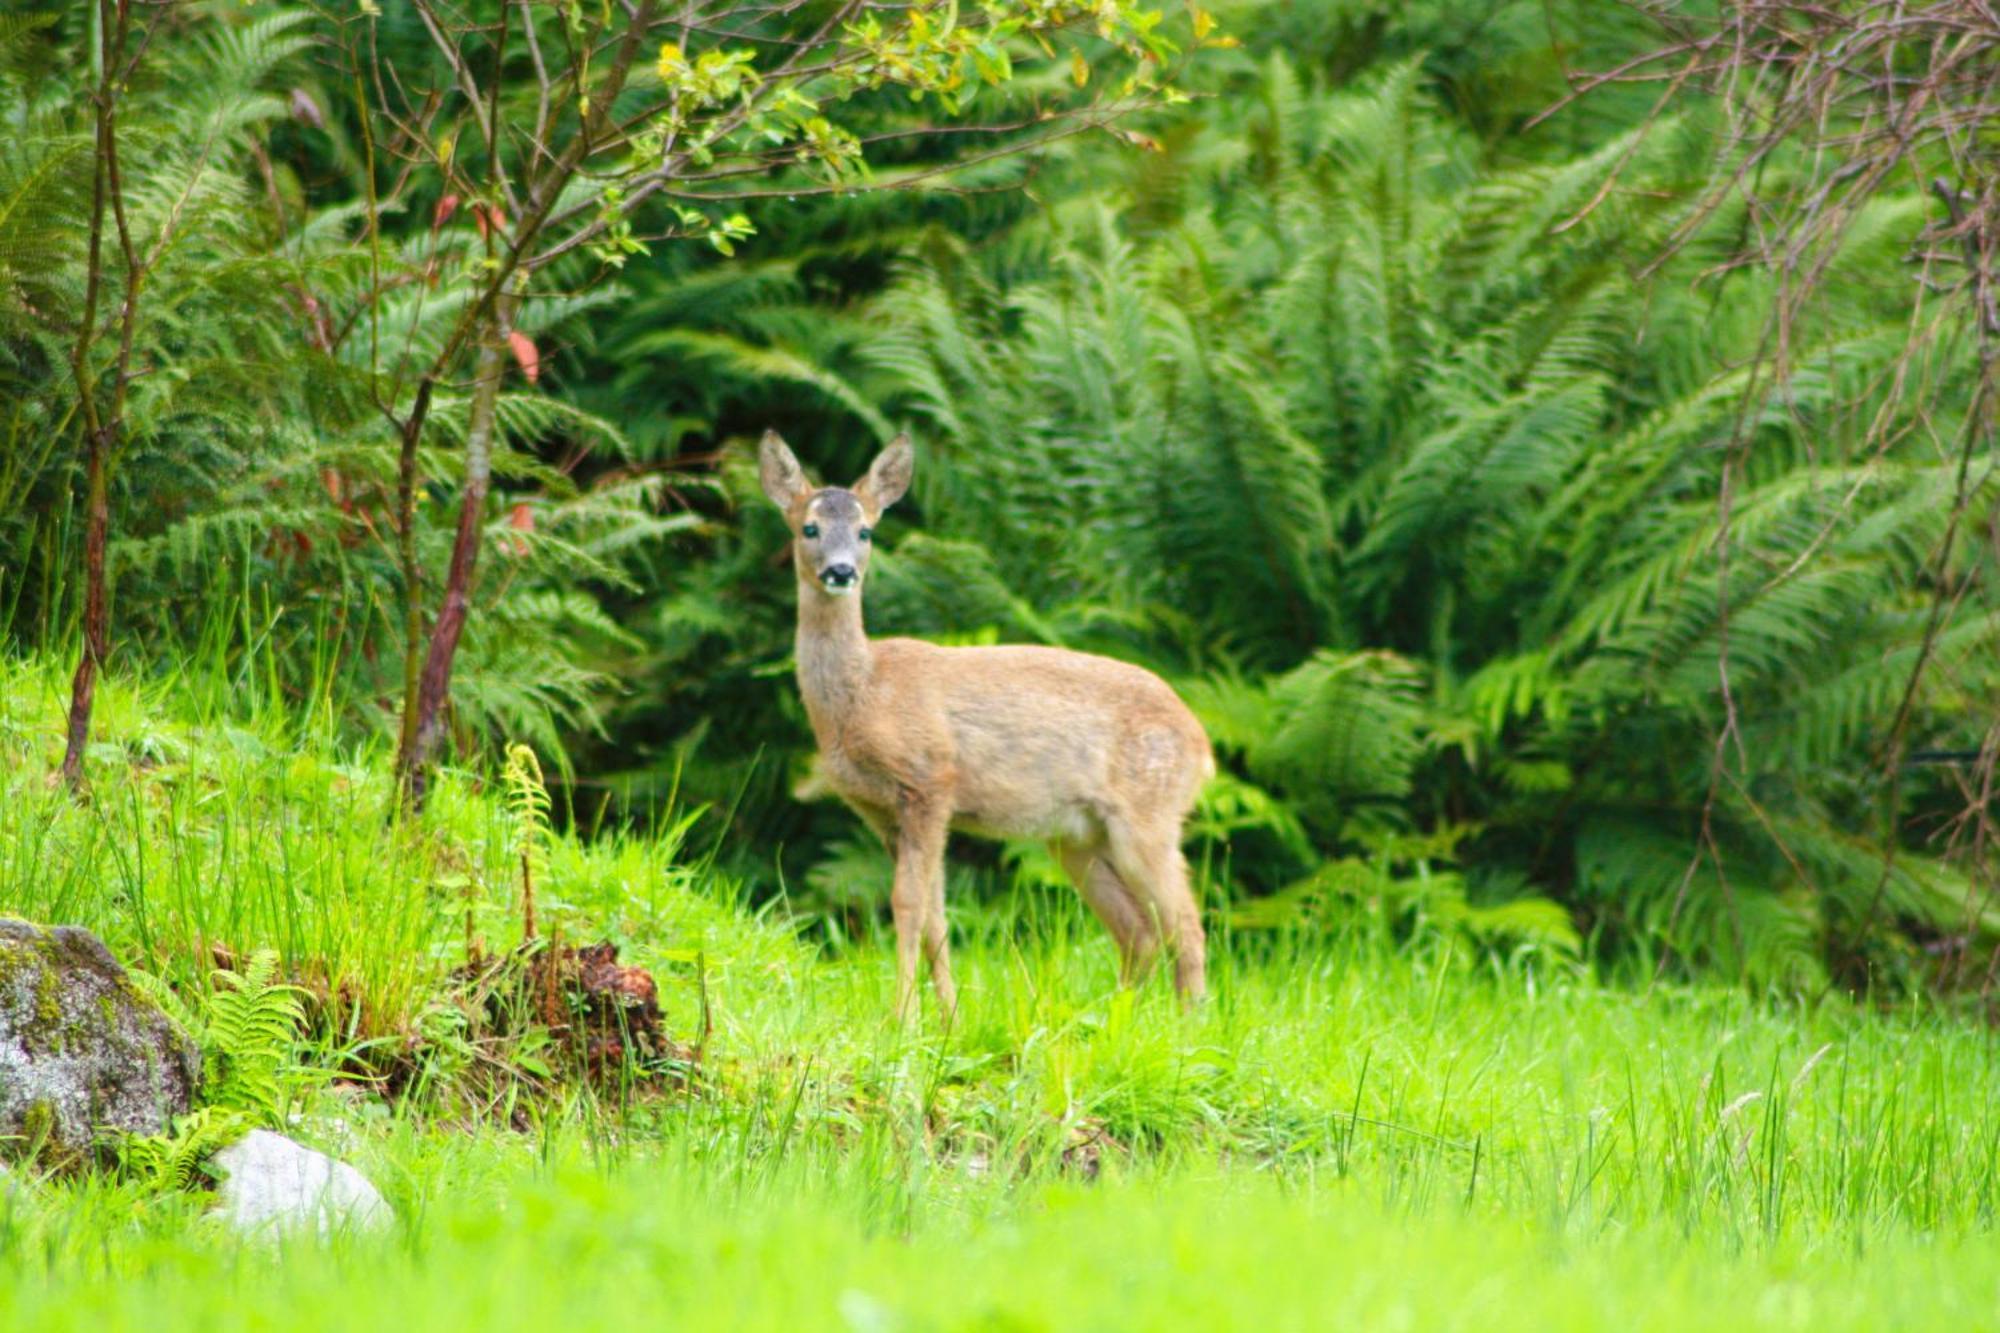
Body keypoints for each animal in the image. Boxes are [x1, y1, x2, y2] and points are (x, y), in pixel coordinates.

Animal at [756, 430, 1208, 1012]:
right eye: (808, 528)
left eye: (865, 531)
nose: (840, 571)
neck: (865, 694)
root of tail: (1201, 743)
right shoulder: (881, 810)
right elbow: (933, 915)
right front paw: (948, 1017)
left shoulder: (930, 781)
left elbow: (907, 904)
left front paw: (904, 1016)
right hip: (1078, 836)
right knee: (1139, 930)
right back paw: (1113, 1019)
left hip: (1148, 815)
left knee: (1188, 926)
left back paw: (1189, 1026)